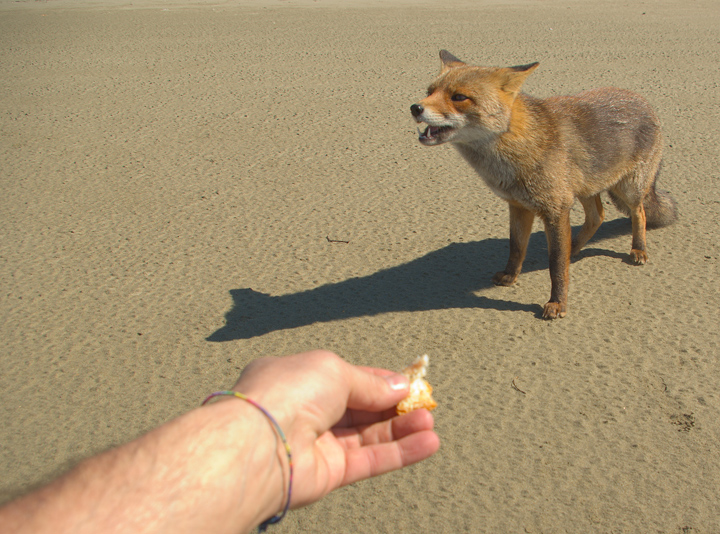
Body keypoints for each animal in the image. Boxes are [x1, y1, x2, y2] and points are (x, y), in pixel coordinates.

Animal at [410, 49, 676, 318]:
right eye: (429, 91)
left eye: (459, 97)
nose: (415, 107)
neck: (519, 144)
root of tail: (640, 98)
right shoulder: (519, 206)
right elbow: (517, 248)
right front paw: (510, 276)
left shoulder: (556, 209)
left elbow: (556, 264)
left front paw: (558, 302)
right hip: (585, 188)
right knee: (597, 217)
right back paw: (574, 247)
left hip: (629, 188)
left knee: (638, 213)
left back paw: (638, 248)